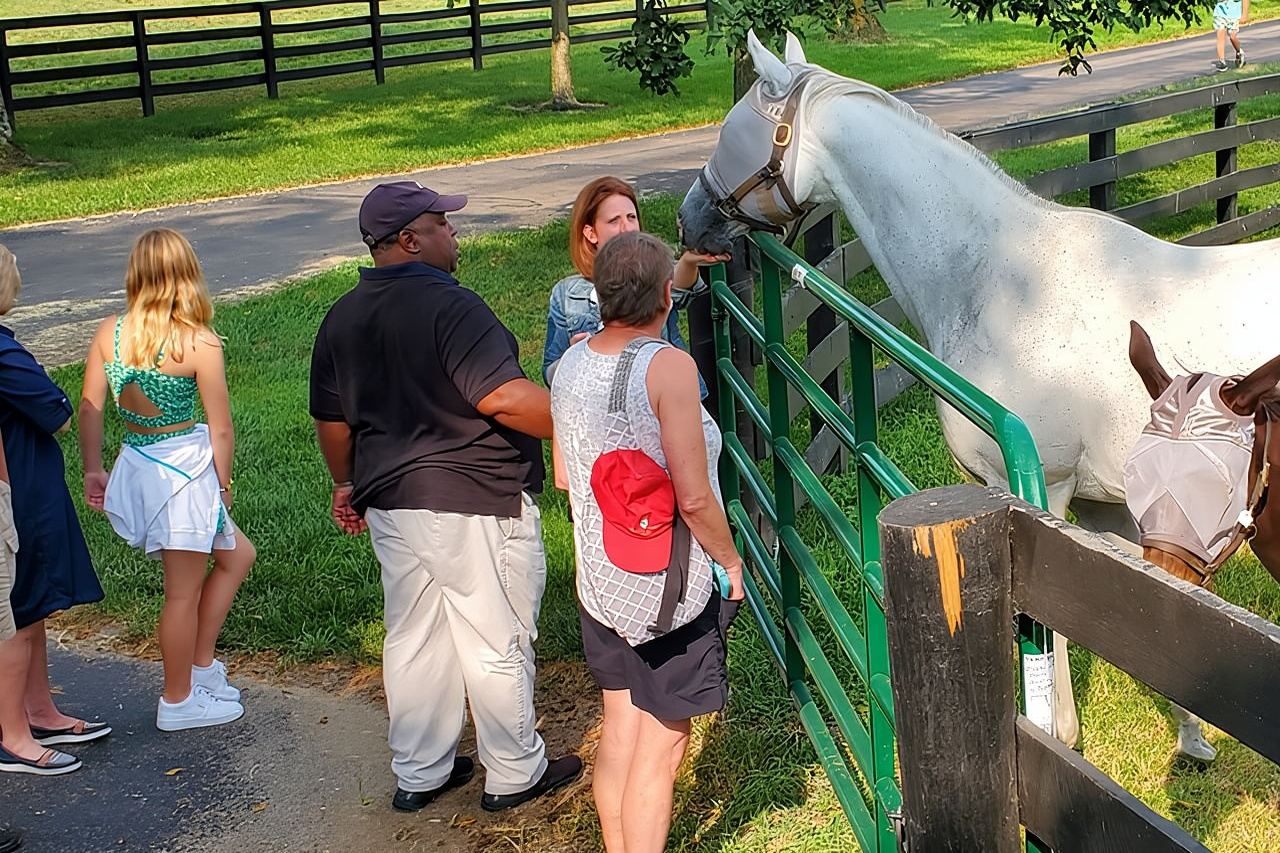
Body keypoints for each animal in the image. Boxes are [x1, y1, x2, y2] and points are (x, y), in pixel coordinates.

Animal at [676, 30, 1280, 752]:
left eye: (731, 133)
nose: (688, 219)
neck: (1005, 281)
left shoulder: (1045, 493)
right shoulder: (1109, 509)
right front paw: (1193, 737)